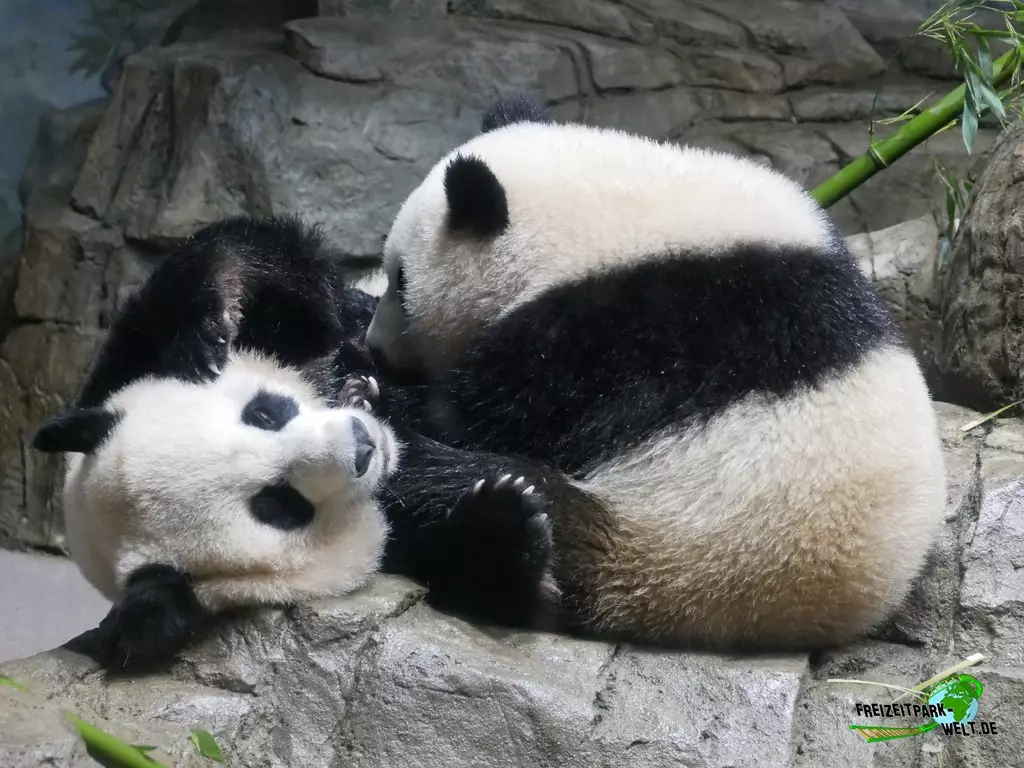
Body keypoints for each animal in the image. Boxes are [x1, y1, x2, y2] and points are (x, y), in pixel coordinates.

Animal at [32, 214, 567, 672]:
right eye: (281, 505)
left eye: (264, 414)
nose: (364, 445)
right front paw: (503, 524)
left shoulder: (117, 374)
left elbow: (283, 269)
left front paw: (211, 317)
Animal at [361, 95, 948, 652]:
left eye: (401, 281)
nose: (375, 347)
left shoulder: (634, 327)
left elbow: (494, 412)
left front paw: (382, 393)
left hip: (691, 533)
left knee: (484, 502)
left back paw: (495, 525)